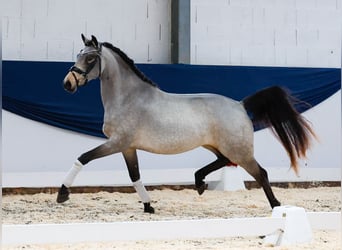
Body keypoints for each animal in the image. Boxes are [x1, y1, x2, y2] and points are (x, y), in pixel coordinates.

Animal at [56, 34, 316, 213]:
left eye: (90, 58)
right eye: (78, 54)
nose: (67, 83)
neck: (128, 98)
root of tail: (240, 104)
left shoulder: (117, 143)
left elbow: (83, 158)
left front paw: (62, 194)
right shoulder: (127, 148)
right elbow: (135, 176)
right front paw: (148, 206)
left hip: (240, 151)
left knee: (260, 173)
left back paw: (276, 206)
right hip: (217, 145)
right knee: (224, 161)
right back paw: (199, 181)